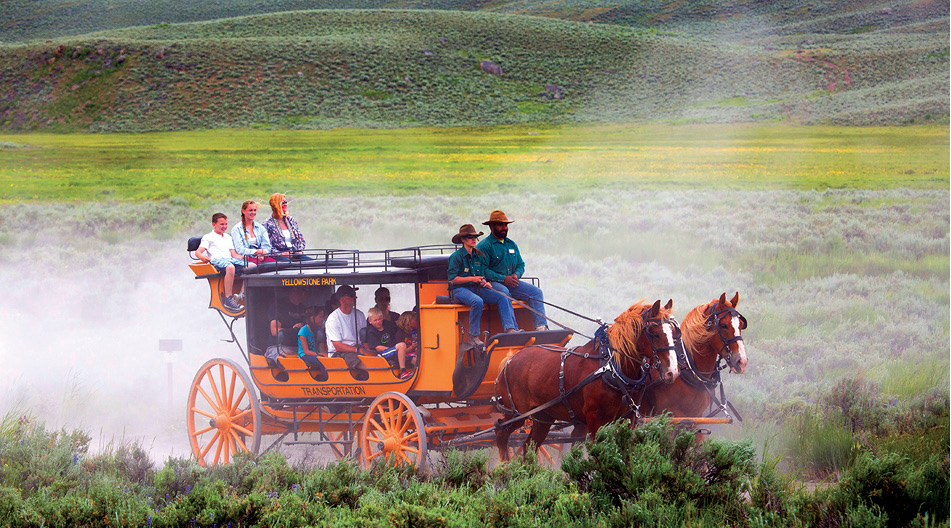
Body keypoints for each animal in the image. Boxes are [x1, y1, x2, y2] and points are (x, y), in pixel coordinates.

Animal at [494, 302, 680, 462]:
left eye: (673, 332)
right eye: (654, 334)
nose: (672, 372)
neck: (611, 368)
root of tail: (511, 360)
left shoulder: (628, 419)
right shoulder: (594, 419)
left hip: (543, 416)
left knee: (529, 446)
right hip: (517, 413)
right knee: (501, 434)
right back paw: (503, 470)